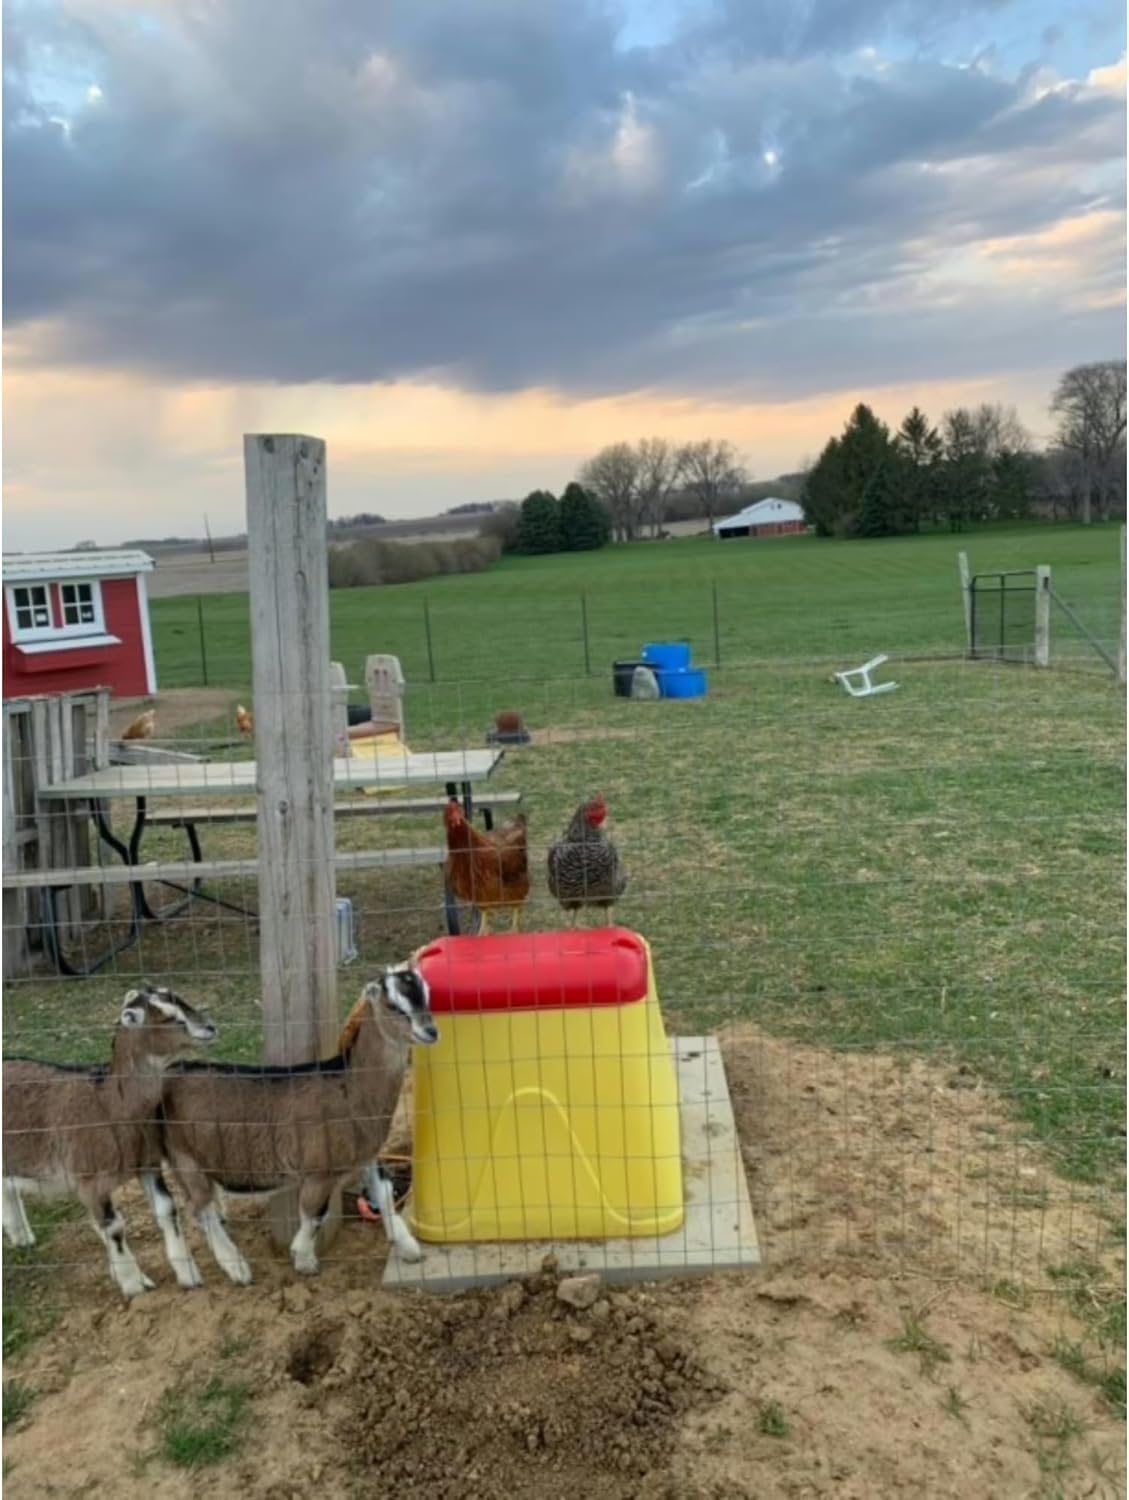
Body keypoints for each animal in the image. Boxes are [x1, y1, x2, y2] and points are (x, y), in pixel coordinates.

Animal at [2, 987, 218, 1299]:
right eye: (167, 1017)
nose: (210, 1029)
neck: (110, 1105)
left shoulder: (148, 1163)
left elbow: (167, 1209)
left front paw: (189, 1275)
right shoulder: (90, 1180)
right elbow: (113, 1226)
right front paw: (134, 1284)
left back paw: (22, 1237)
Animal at [159, 960, 438, 1281]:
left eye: (426, 996)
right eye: (394, 1005)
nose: (431, 1032)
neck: (352, 1086)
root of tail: (169, 1073)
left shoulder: (367, 1154)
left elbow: (386, 1193)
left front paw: (409, 1248)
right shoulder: (320, 1168)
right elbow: (313, 1214)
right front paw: (303, 1258)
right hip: (183, 1155)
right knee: (198, 1210)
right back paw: (234, 1267)